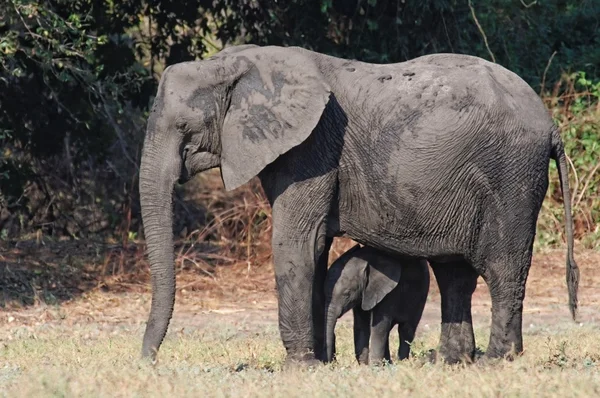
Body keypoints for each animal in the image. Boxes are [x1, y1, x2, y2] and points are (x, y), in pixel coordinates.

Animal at [138, 44, 580, 366]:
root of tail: (550, 124)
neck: (236, 64)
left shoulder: (311, 148)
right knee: (454, 273)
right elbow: (315, 248)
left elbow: (295, 243)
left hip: (512, 175)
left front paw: (300, 367)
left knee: (503, 267)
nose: (148, 361)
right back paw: (452, 362)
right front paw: (320, 363)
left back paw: (496, 361)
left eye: (184, 129)